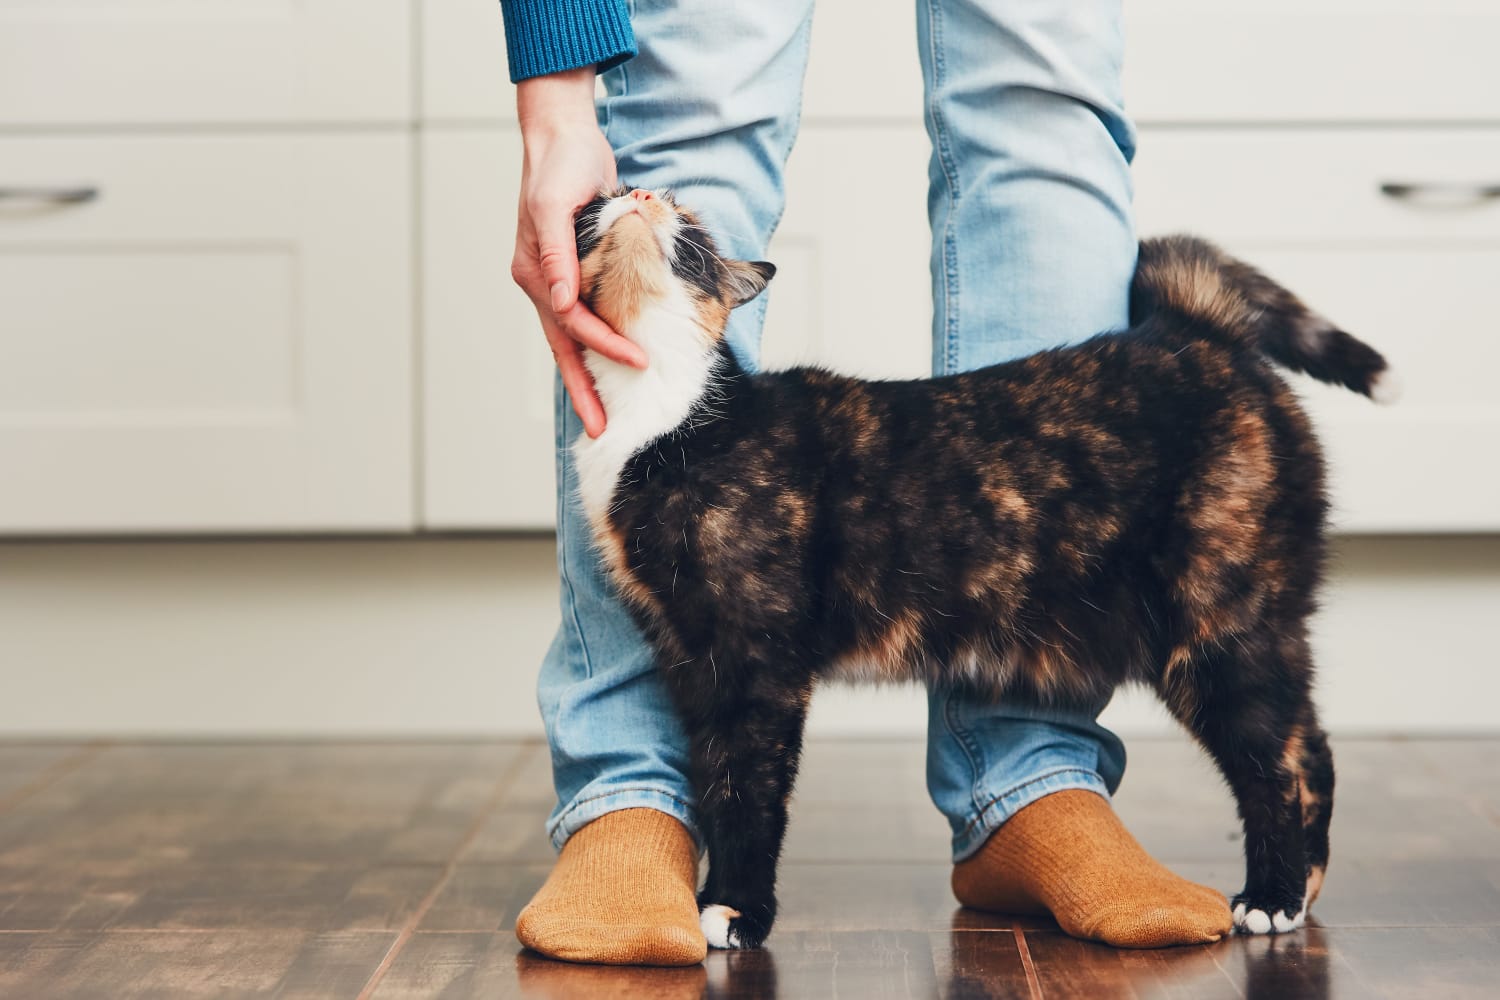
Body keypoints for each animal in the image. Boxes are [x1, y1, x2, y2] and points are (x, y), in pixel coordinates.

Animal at [564, 185, 1392, 953]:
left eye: (691, 227)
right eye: (601, 203)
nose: (640, 193)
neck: (662, 414)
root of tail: (1194, 331)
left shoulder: (756, 661)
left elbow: (749, 790)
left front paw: (737, 910)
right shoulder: (690, 657)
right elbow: (714, 779)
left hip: (1219, 624)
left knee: (1279, 761)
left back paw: (1274, 897)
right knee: (1309, 746)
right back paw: (1303, 888)